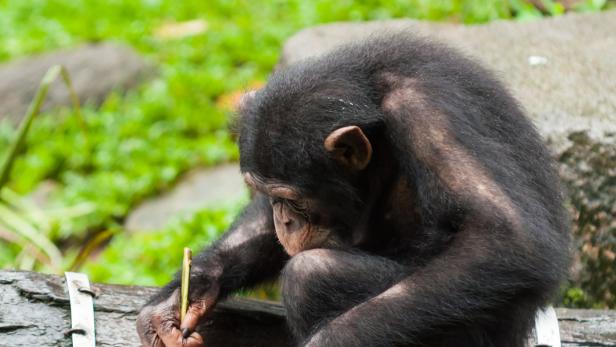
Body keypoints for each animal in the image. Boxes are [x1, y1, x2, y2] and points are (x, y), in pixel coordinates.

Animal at [137, 33, 572, 347]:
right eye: (271, 195)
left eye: (294, 201)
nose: (284, 220)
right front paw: (186, 294)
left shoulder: (430, 112)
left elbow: (503, 235)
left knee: (311, 275)